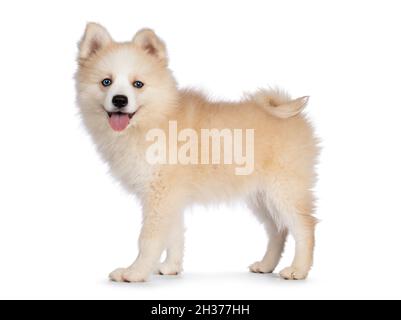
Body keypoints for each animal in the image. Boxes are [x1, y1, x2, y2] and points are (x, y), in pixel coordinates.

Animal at [76, 23, 318, 282]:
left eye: (137, 84)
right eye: (106, 82)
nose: (119, 100)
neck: (156, 119)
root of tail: (293, 113)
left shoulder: (160, 193)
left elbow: (148, 239)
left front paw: (135, 272)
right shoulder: (170, 195)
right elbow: (175, 235)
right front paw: (171, 267)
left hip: (284, 189)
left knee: (304, 227)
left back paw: (298, 269)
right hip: (261, 196)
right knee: (278, 231)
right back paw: (266, 265)